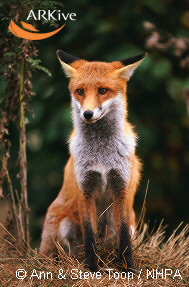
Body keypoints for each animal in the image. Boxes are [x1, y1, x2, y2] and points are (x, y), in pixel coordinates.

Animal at [39, 50, 146, 274]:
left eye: (103, 90)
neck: (101, 154)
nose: (87, 114)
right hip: (65, 226)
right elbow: (90, 238)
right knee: (67, 250)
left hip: (125, 222)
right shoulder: (85, 189)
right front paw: (93, 269)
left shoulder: (121, 188)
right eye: (80, 91)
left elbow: (124, 239)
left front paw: (129, 269)